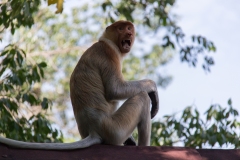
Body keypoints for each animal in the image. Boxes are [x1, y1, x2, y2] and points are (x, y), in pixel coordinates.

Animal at [0, 20, 159, 149]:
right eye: (121, 29)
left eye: (129, 28)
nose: (129, 33)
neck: (106, 41)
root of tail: (93, 130)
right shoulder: (109, 53)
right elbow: (115, 90)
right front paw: (153, 88)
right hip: (114, 129)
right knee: (142, 98)